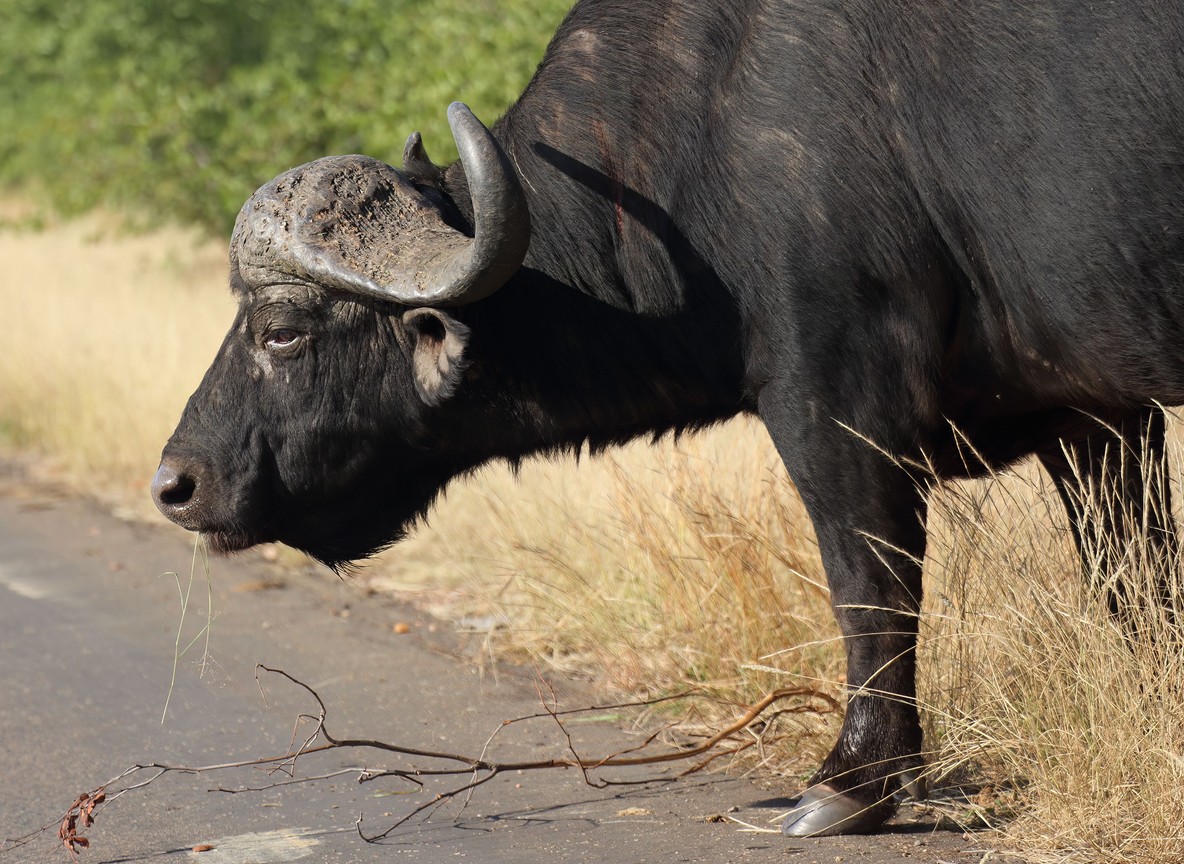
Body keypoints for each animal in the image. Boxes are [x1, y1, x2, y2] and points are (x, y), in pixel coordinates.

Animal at [152, 0, 1183, 837]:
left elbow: (869, 585)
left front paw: (852, 782)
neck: (693, 139)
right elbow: (1136, 585)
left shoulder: (835, 406)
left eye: (283, 330)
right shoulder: (1099, 421)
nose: (176, 485)